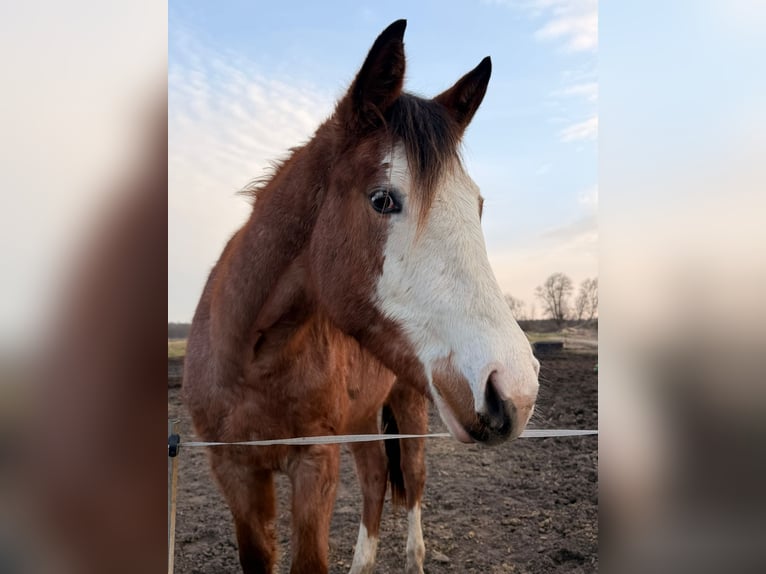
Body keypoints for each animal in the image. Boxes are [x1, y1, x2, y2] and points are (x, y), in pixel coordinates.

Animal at [182, 19, 540, 574]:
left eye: (477, 206)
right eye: (383, 199)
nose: (515, 391)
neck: (250, 357)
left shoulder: (314, 462)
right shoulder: (234, 471)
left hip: (410, 407)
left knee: (411, 481)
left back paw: (414, 557)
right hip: (363, 420)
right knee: (374, 479)